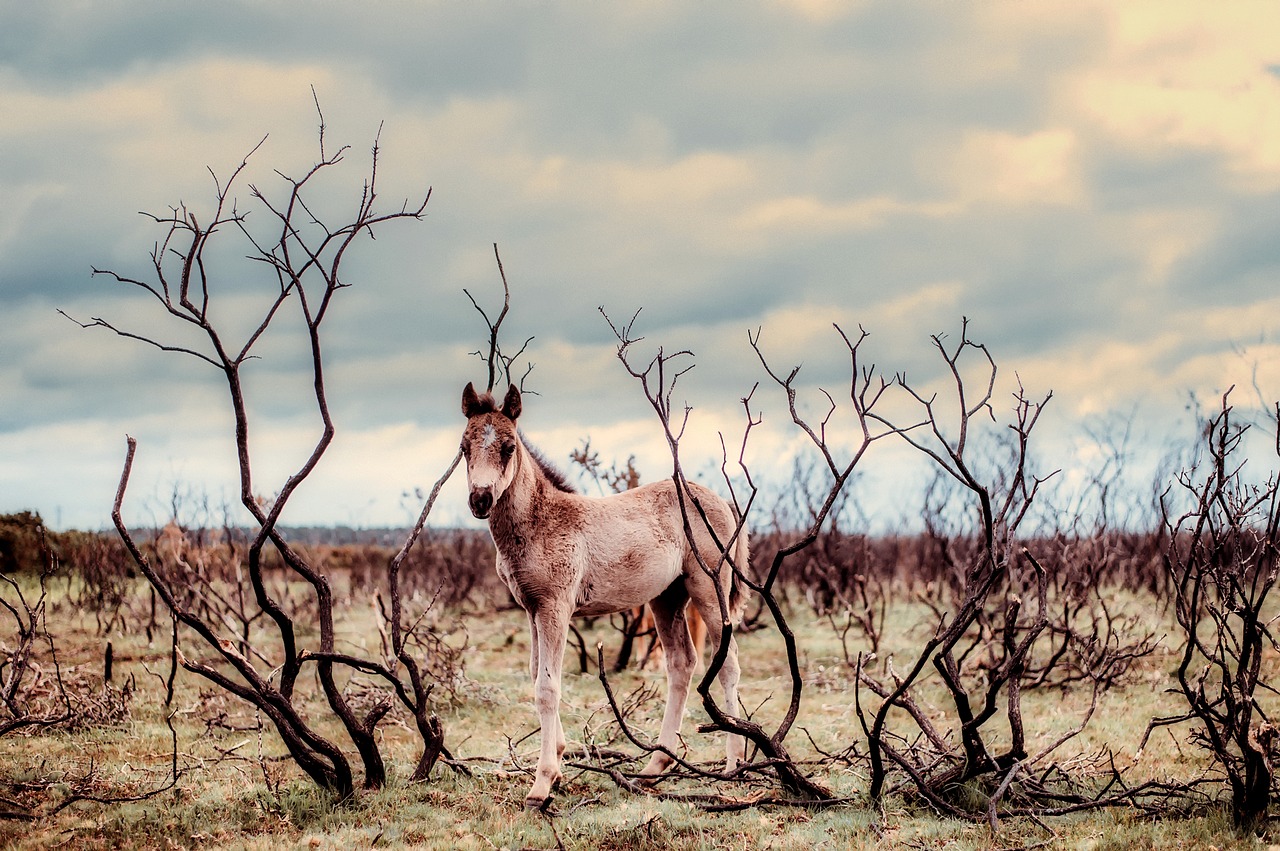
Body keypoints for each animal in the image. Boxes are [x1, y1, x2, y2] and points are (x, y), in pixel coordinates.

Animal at [460, 381, 747, 808]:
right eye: (464, 447)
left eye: (509, 447)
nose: (480, 500)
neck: (539, 521)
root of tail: (720, 500)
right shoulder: (531, 608)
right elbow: (536, 674)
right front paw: (559, 757)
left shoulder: (555, 608)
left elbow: (547, 687)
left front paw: (542, 784)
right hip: (667, 598)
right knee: (681, 663)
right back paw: (655, 766)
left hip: (710, 589)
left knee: (726, 662)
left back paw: (732, 765)